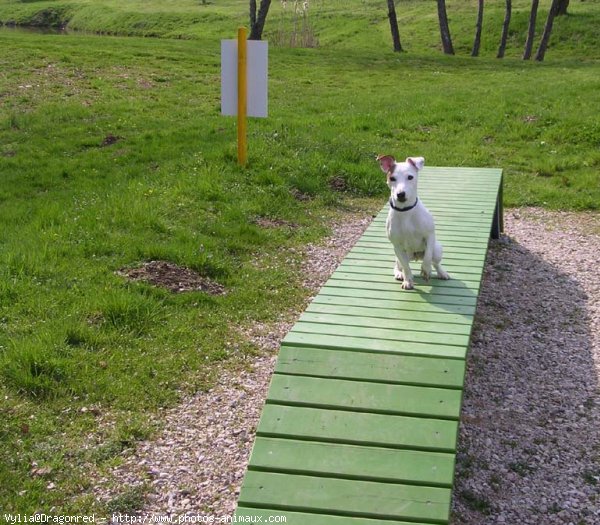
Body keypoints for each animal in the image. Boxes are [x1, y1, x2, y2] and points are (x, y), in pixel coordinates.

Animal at [378, 154, 448, 288]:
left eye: (410, 177)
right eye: (392, 178)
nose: (400, 194)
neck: (405, 212)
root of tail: (416, 256)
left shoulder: (430, 236)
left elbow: (428, 258)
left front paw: (426, 270)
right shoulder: (397, 246)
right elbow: (406, 267)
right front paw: (407, 280)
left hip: (437, 249)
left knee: (435, 262)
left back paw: (442, 273)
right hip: (400, 254)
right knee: (398, 265)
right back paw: (399, 273)